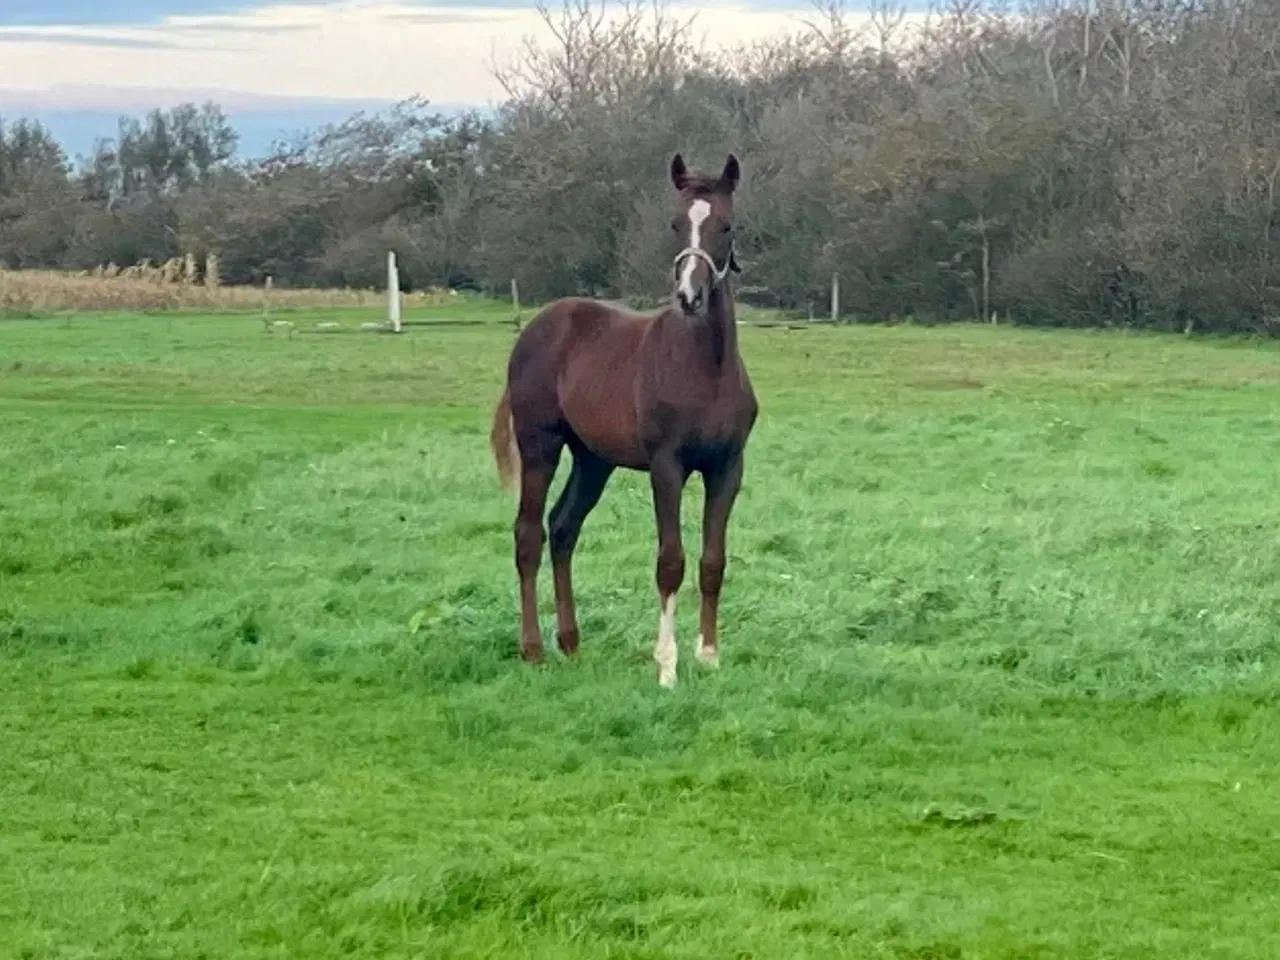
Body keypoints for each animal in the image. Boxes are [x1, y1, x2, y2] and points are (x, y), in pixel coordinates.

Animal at [486, 154, 747, 686]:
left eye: (726, 225)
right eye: (676, 223)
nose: (689, 296)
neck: (706, 368)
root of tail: (537, 327)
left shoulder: (728, 468)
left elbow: (713, 561)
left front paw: (709, 657)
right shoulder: (667, 468)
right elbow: (671, 561)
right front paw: (666, 667)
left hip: (593, 460)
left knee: (563, 527)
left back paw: (571, 643)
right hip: (541, 445)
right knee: (529, 534)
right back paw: (534, 649)